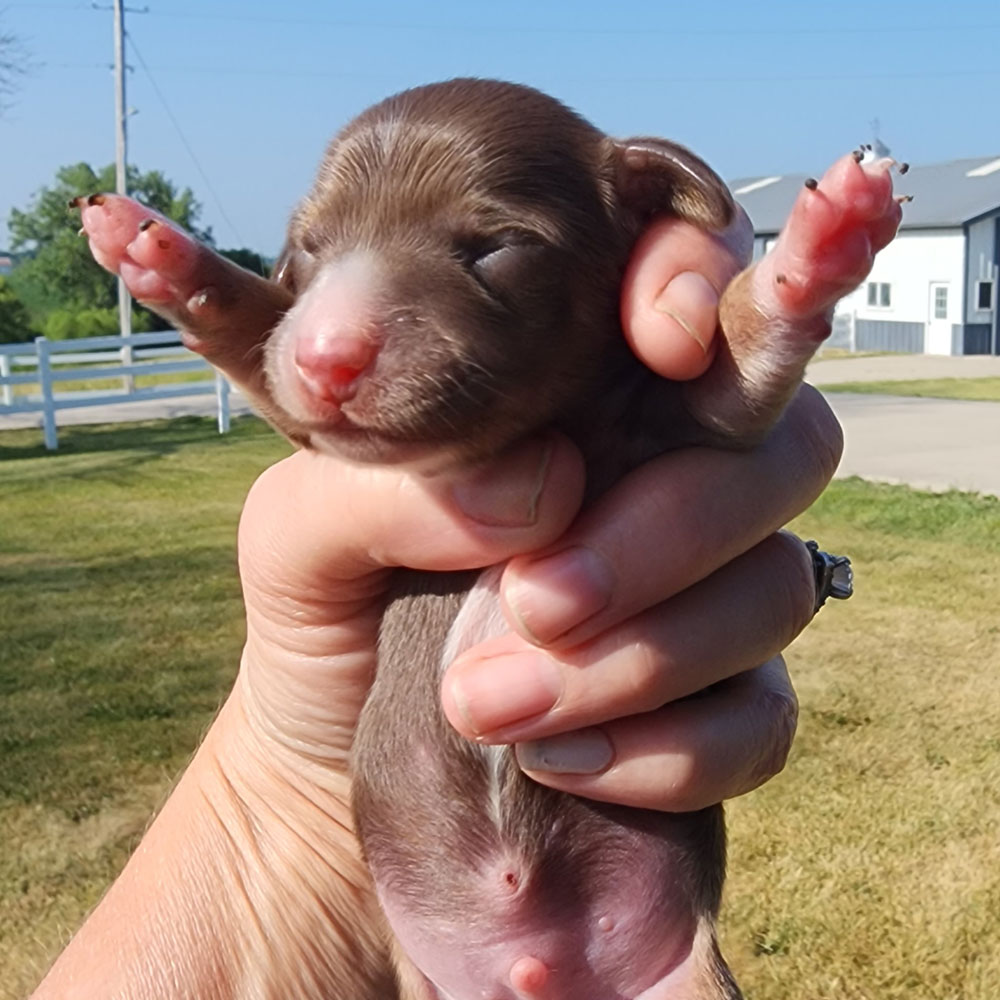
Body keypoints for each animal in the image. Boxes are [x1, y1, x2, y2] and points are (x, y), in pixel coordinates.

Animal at [78, 80, 904, 1000]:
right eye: (310, 251)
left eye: (494, 246)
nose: (328, 354)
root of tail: (535, 969)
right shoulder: (305, 419)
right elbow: (259, 345)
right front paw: (154, 251)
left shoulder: (686, 417)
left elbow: (744, 350)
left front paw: (825, 235)